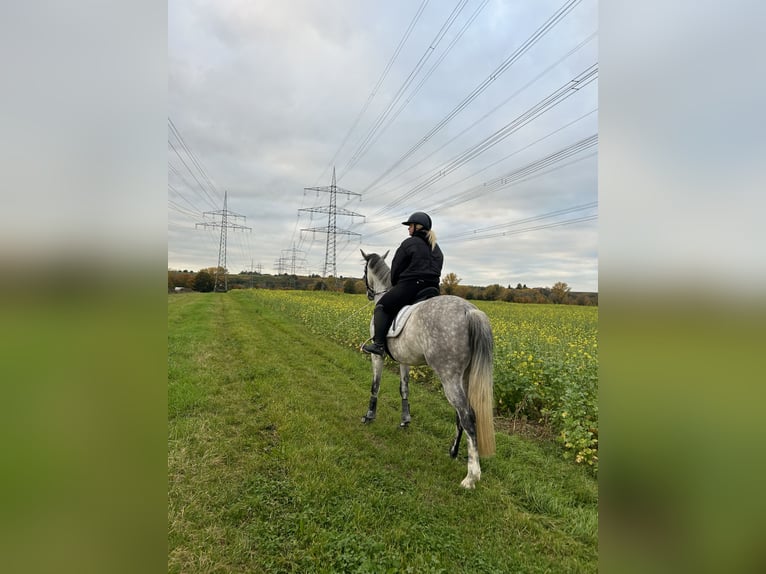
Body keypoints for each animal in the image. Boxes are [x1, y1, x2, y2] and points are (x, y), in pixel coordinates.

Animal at [362, 250, 498, 488]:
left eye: (364, 272)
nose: (369, 294)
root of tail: (469, 310)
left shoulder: (377, 357)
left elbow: (375, 385)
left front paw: (369, 416)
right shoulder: (404, 360)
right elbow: (404, 389)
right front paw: (405, 420)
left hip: (449, 377)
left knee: (468, 416)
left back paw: (471, 477)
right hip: (464, 376)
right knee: (461, 415)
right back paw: (453, 452)